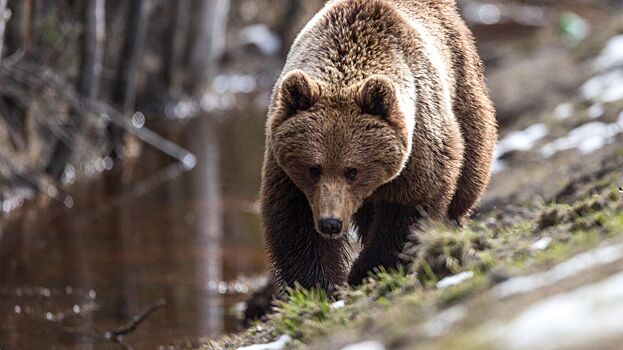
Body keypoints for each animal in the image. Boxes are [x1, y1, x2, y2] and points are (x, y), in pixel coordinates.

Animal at [260, 0, 500, 292]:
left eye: (352, 171)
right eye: (313, 168)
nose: (330, 223)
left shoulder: (419, 143)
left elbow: (409, 209)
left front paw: (368, 270)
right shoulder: (284, 165)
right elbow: (295, 220)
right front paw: (320, 284)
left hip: (463, 90)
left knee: (468, 175)